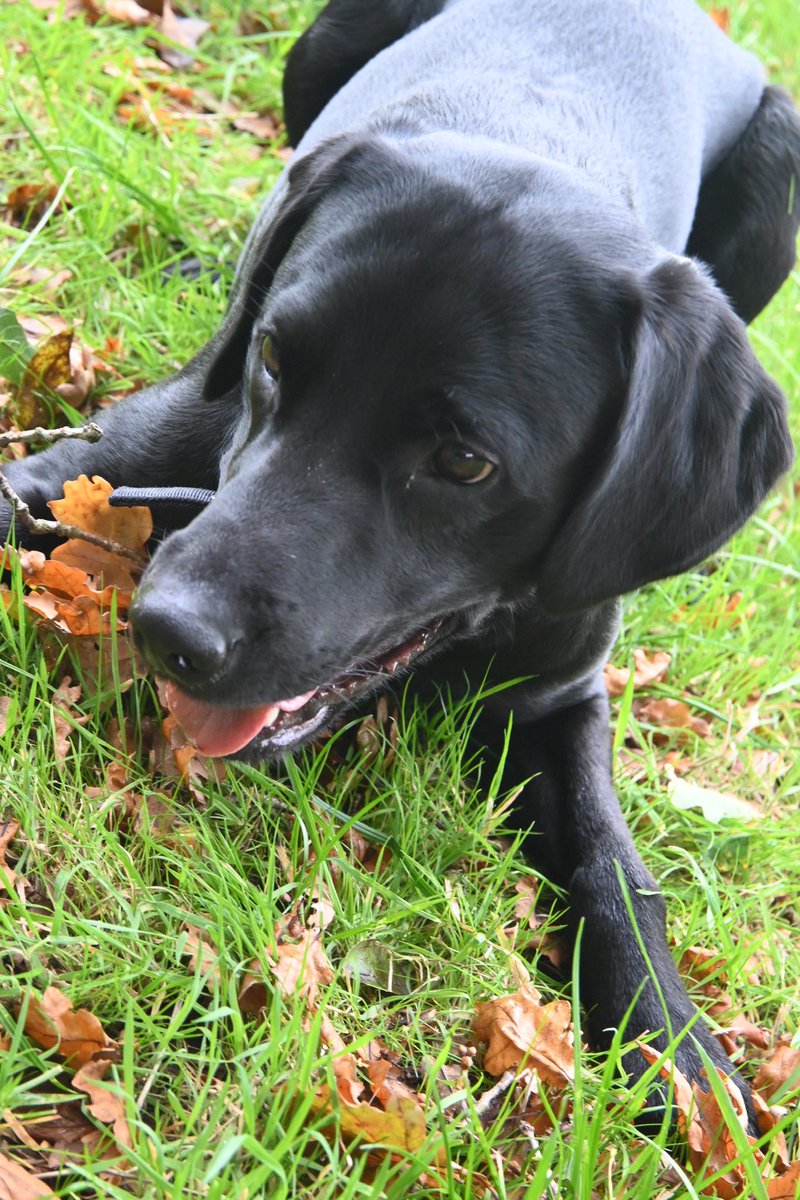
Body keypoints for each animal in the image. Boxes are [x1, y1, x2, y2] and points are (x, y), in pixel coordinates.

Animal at [3, 0, 796, 1123]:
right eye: (272, 357)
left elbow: (612, 858)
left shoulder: (564, 692)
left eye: (464, 461)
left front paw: (671, 1039)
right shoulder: (87, 470)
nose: (169, 632)